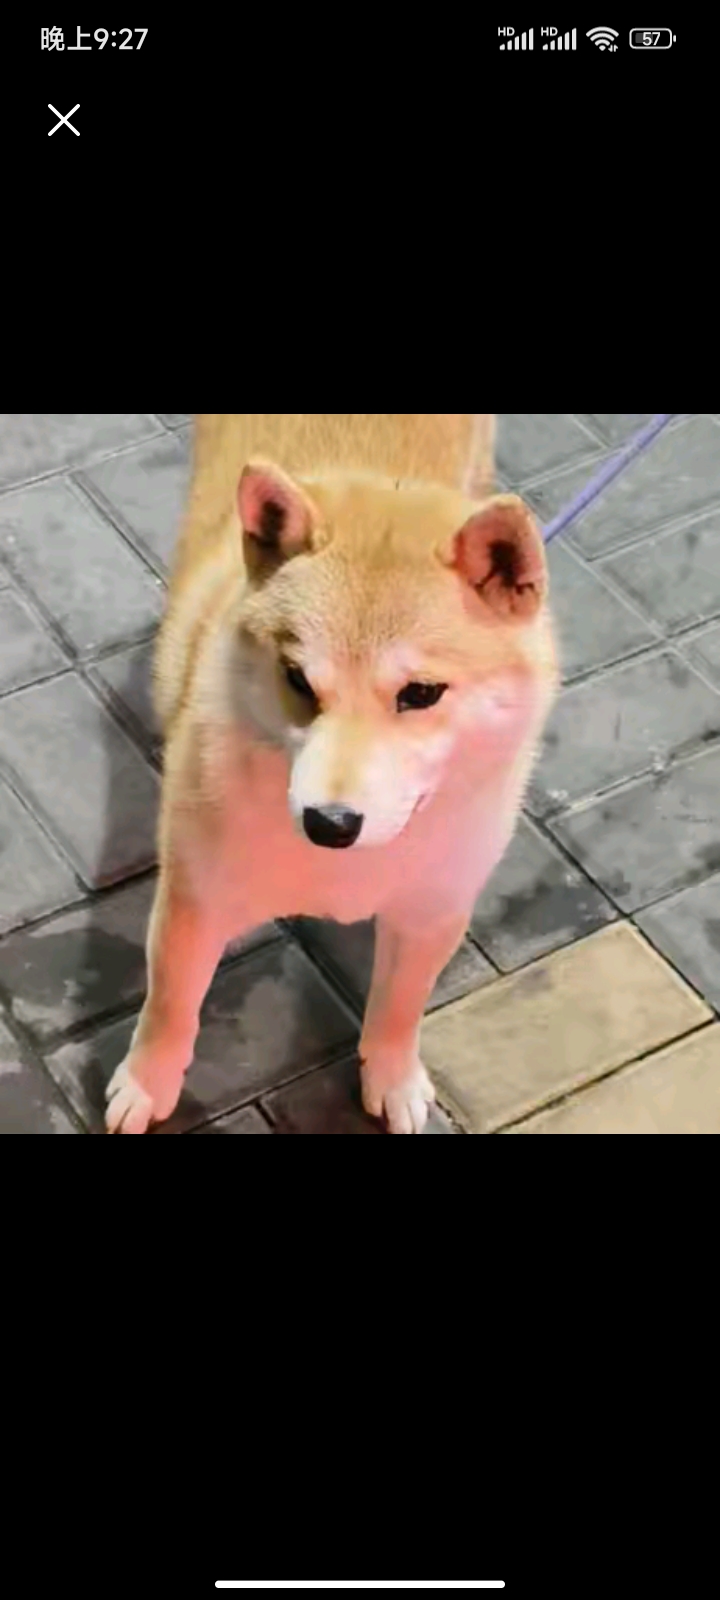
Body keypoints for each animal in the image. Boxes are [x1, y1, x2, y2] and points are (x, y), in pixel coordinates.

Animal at [105, 415, 558, 1135]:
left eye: (421, 693)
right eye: (297, 679)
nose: (330, 823)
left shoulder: (435, 906)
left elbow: (401, 1006)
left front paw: (392, 1075)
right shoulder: (194, 900)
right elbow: (172, 1006)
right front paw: (148, 1084)